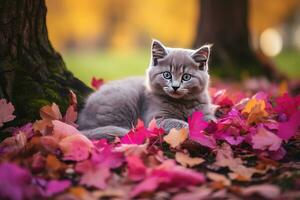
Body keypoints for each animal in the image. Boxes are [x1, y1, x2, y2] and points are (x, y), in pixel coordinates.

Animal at [77, 39, 216, 139]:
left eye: (186, 77)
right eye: (167, 75)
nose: (175, 87)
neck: (182, 103)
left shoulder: (205, 111)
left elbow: (212, 121)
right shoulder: (155, 118)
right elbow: (178, 123)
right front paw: (187, 127)